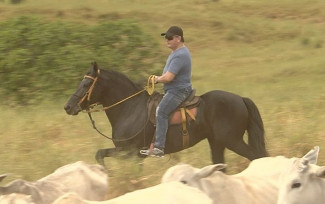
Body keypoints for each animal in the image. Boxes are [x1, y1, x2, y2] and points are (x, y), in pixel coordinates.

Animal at [63, 62, 266, 166]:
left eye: (86, 84)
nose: (68, 106)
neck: (130, 109)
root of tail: (241, 99)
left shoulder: (131, 153)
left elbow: (101, 155)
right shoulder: (130, 154)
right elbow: (100, 154)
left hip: (232, 140)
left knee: (256, 157)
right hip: (217, 143)